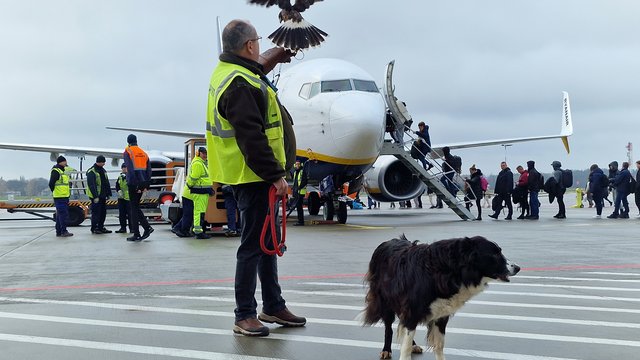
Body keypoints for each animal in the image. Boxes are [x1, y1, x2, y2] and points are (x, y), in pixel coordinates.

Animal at [362, 235, 516, 360]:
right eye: (495, 254)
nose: (517, 267)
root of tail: (387, 242)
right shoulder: (412, 309)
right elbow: (405, 345)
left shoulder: (441, 314)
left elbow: (439, 345)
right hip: (385, 300)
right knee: (389, 326)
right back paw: (386, 350)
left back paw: (413, 345)